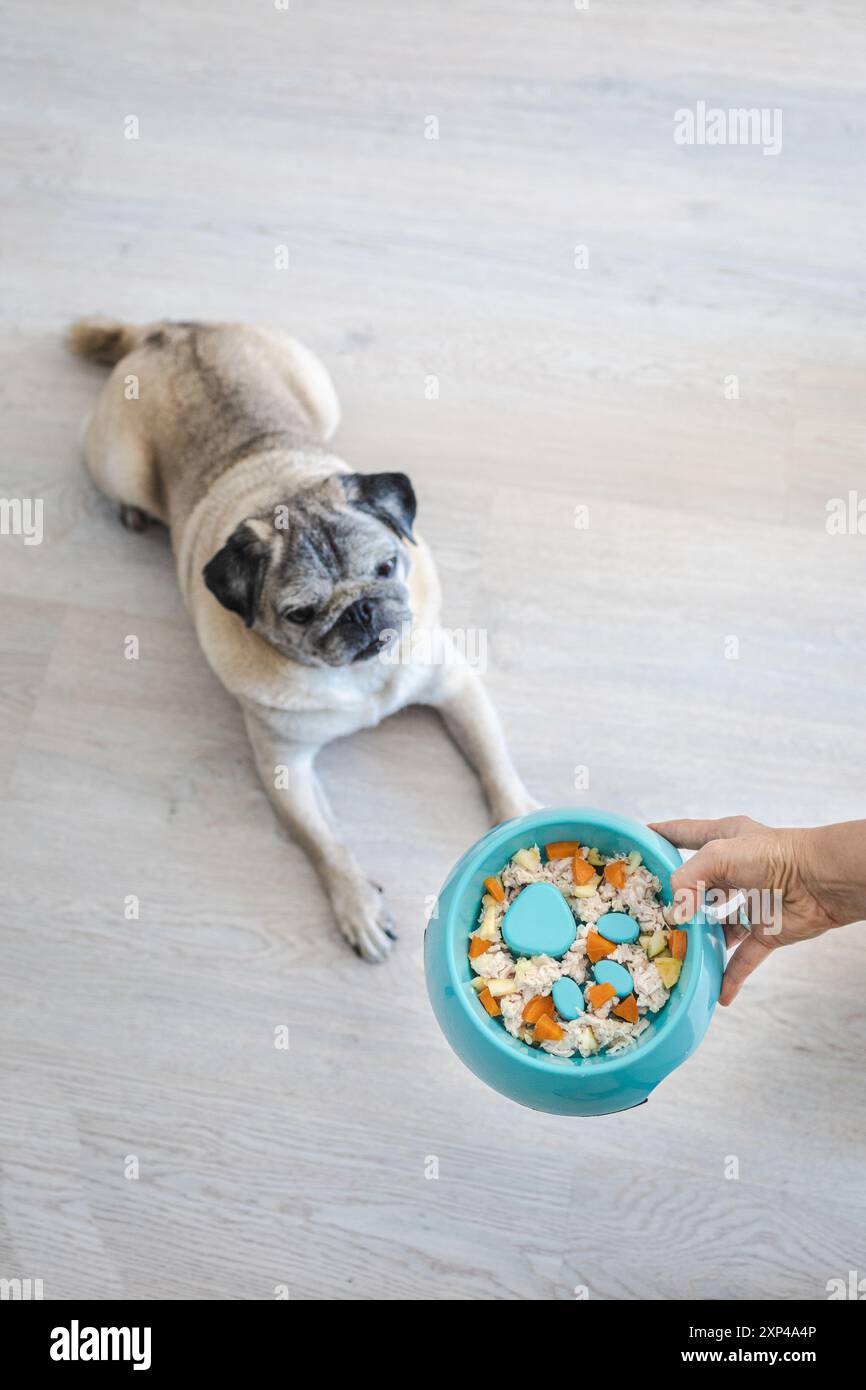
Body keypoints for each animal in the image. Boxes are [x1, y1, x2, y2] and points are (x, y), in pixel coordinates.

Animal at [69, 319, 536, 961]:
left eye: (387, 567)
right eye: (301, 613)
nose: (361, 611)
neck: (359, 677)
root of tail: (169, 331)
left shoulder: (456, 688)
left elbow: (494, 761)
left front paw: (518, 817)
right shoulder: (284, 765)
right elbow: (323, 842)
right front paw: (358, 906)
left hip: (319, 393)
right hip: (118, 463)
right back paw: (131, 512)